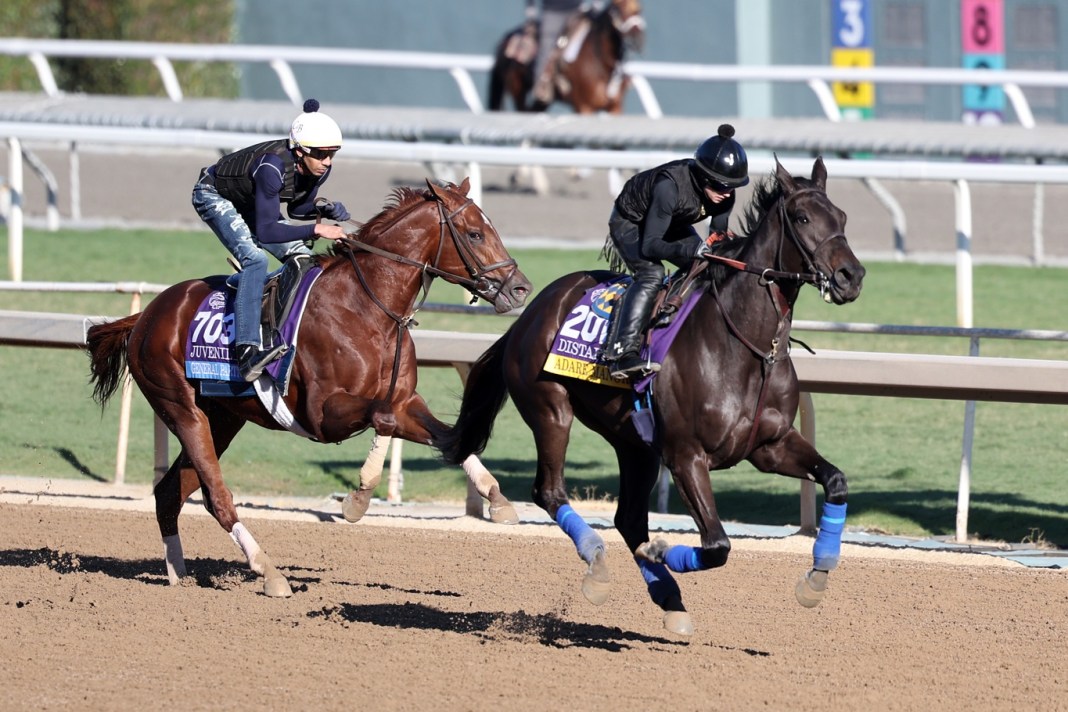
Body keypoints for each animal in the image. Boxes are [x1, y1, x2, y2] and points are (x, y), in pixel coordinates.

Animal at [83, 178, 529, 597]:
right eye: (475, 233)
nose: (520, 288)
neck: (367, 308)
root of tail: (145, 316)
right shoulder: (323, 415)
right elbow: (383, 418)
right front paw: (357, 500)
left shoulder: (406, 399)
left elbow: (448, 437)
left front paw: (498, 500)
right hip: (181, 409)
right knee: (217, 497)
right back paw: (270, 573)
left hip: (222, 419)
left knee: (172, 492)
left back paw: (179, 577)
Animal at [442, 160, 867, 636]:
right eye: (803, 218)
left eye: (842, 217)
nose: (852, 276)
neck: (746, 344)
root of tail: (529, 313)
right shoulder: (685, 456)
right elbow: (717, 545)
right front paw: (661, 551)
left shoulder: (769, 446)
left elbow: (835, 481)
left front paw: (816, 578)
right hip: (552, 410)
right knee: (550, 491)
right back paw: (598, 564)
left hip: (635, 444)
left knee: (628, 518)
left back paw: (670, 599)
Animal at [489, 0, 645, 113]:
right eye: (619, 7)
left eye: (639, 9)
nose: (637, 39)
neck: (601, 64)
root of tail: (507, 37)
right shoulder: (584, 107)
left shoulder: (615, 107)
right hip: (517, 91)